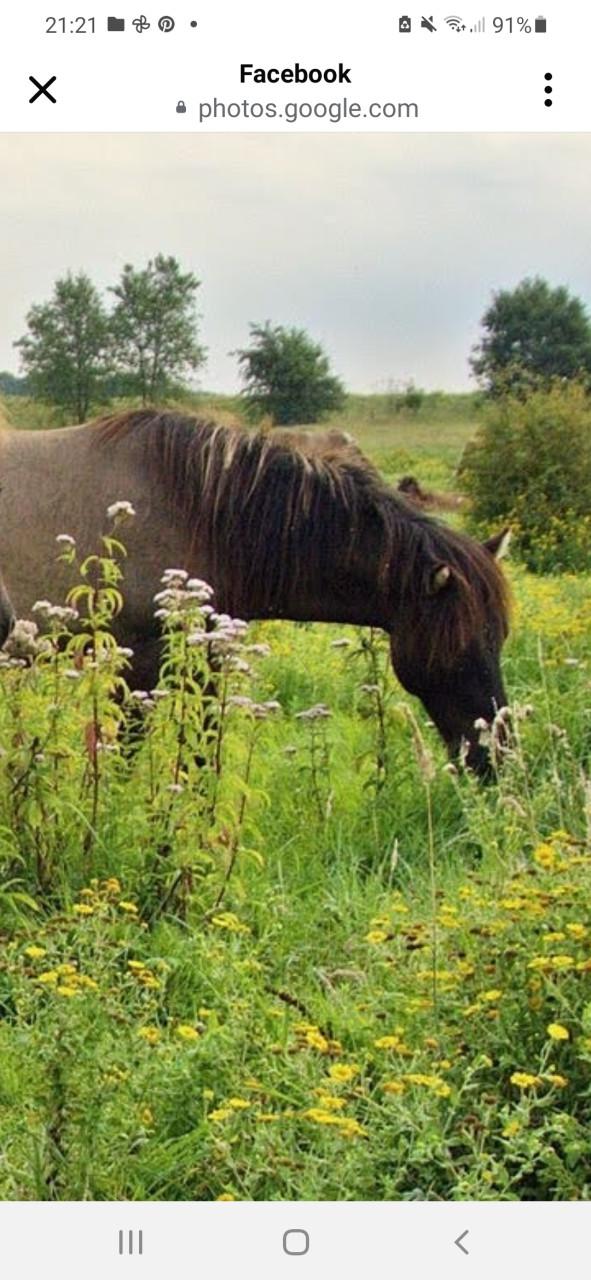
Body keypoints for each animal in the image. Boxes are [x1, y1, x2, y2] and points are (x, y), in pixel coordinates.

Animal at [0, 409, 510, 774]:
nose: (498, 757)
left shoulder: (204, 662)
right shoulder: (137, 668)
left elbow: (201, 759)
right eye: (457, 646)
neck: (200, 514)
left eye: (499, 639)